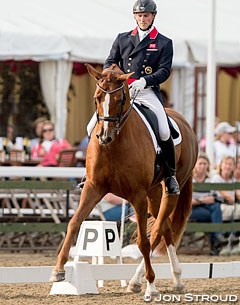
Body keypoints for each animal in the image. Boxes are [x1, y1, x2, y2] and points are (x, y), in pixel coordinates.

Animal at [50, 63, 197, 294]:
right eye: (97, 98)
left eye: (120, 100)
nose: (104, 137)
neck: (114, 146)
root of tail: (185, 124)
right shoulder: (93, 187)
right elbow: (74, 222)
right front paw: (58, 271)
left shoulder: (137, 195)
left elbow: (143, 242)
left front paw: (151, 285)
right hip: (153, 192)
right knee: (164, 228)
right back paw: (175, 279)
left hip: (169, 190)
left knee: (157, 231)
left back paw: (141, 281)